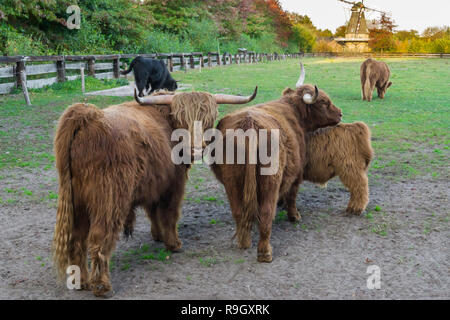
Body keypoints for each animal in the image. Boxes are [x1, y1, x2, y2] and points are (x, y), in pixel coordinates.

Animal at [52, 88, 256, 298]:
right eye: (183, 120)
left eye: (208, 120)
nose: (197, 149)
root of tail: (87, 116)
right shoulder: (174, 185)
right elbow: (170, 215)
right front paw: (174, 244)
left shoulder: (154, 185)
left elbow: (153, 213)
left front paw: (158, 236)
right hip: (109, 201)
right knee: (98, 240)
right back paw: (101, 286)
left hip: (76, 202)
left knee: (76, 239)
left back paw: (81, 281)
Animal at [211, 63, 342, 264]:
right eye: (324, 102)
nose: (340, 113)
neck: (295, 114)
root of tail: (249, 124)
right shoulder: (297, 173)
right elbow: (292, 195)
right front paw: (294, 215)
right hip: (269, 181)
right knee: (266, 214)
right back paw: (265, 253)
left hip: (232, 181)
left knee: (239, 212)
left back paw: (244, 242)